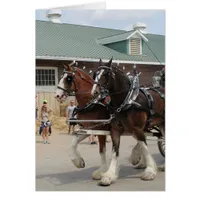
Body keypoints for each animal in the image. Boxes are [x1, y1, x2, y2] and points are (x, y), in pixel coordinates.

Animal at [91, 58, 165, 186]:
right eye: (95, 74)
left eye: (105, 75)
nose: (94, 92)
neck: (127, 100)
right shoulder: (116, 130)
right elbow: (115, 152)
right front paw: (109, 175)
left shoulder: (137, 128)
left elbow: (144, 146)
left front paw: (150, 171)